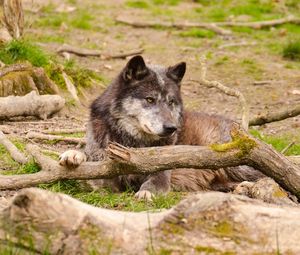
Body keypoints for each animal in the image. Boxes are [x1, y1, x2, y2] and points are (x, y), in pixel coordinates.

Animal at [59, 55, 262, 199]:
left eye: (171, 102)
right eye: (150, 99)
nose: (172, 128)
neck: (130, 140)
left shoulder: (162, 172)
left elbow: (155, 181)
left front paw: (146, 192)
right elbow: (87, 156)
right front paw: (74, 154)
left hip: (238, 162)